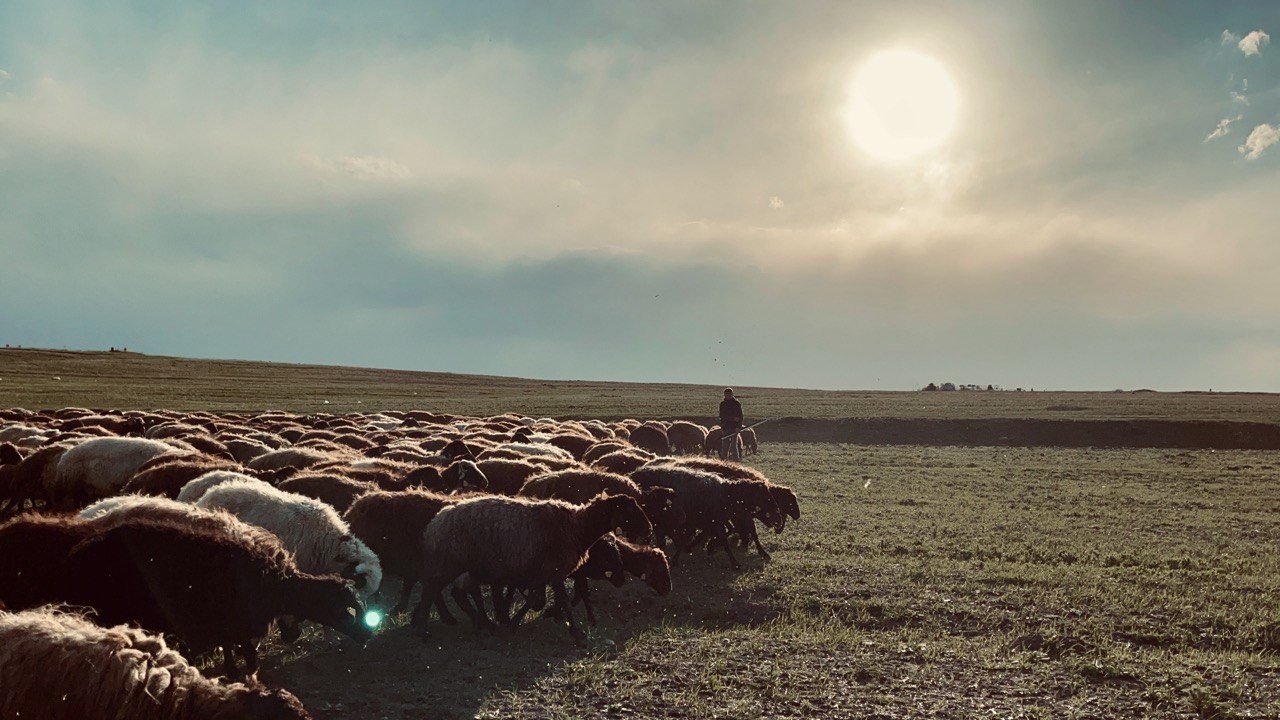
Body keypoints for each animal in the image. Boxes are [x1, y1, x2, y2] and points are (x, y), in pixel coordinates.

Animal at [409, 491, 650, 638]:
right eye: (630, 510)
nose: (648, 529)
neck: (577, 527)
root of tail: (435, 521)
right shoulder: (553, 569)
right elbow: (560, 600)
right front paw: (577, 633)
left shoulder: (540, 573)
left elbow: (536, 600)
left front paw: (513, 622)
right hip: (449, 561)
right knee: (431, 590)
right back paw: (423, 629)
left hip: (469, 566)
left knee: (453, 592)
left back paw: (483, 624)